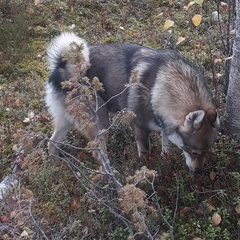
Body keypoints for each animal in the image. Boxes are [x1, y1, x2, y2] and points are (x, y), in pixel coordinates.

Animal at [44, 32, 219, 173]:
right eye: (194, 152)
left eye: (208, 151)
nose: (198, 172)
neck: (157, 85)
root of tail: (61, 68)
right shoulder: (140, 129)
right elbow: (145, 155)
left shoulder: (165, 127)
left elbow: (165, 147)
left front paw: (165, 162)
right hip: (101, 122)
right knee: (97, 153)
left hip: (66, 121)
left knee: (52, 144)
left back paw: (58, 166)